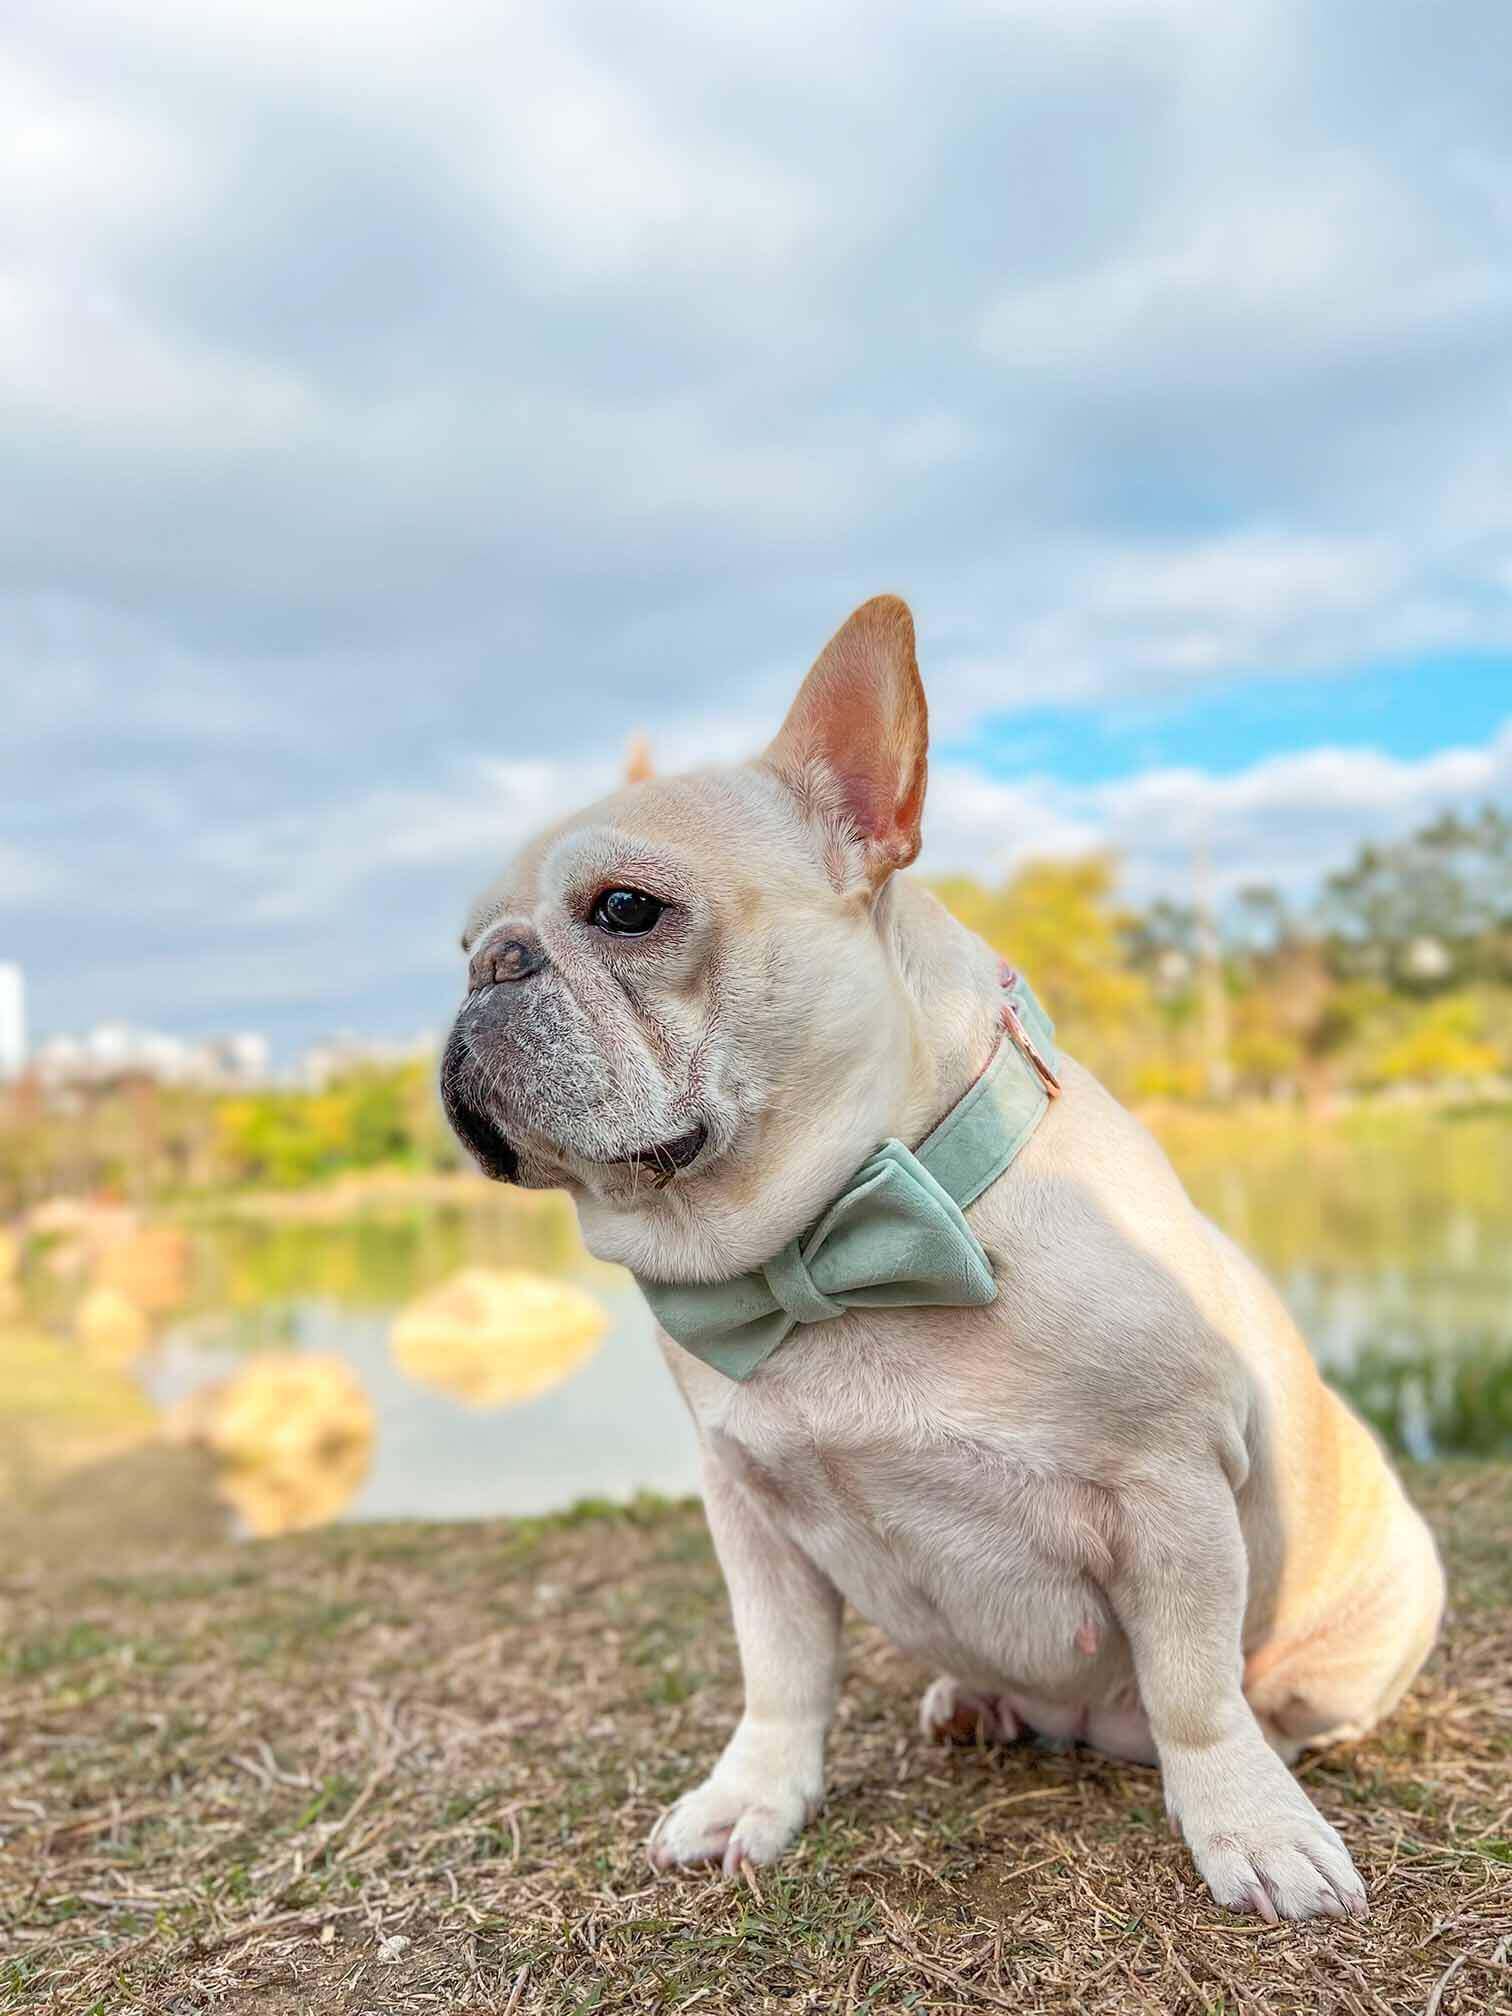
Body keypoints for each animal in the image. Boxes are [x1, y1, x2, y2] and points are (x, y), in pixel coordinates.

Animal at [443, 592, 1451, 1919]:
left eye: (625, 908)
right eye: (461, 941)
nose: (490, 964)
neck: (835, 1251)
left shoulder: (1172, 1489)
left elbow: (1196, 1690)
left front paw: (1250, 1824)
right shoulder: (748, 1512)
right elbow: (779, 1678)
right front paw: (751, 1800)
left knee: (1262, 1697)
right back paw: (972, 1699)